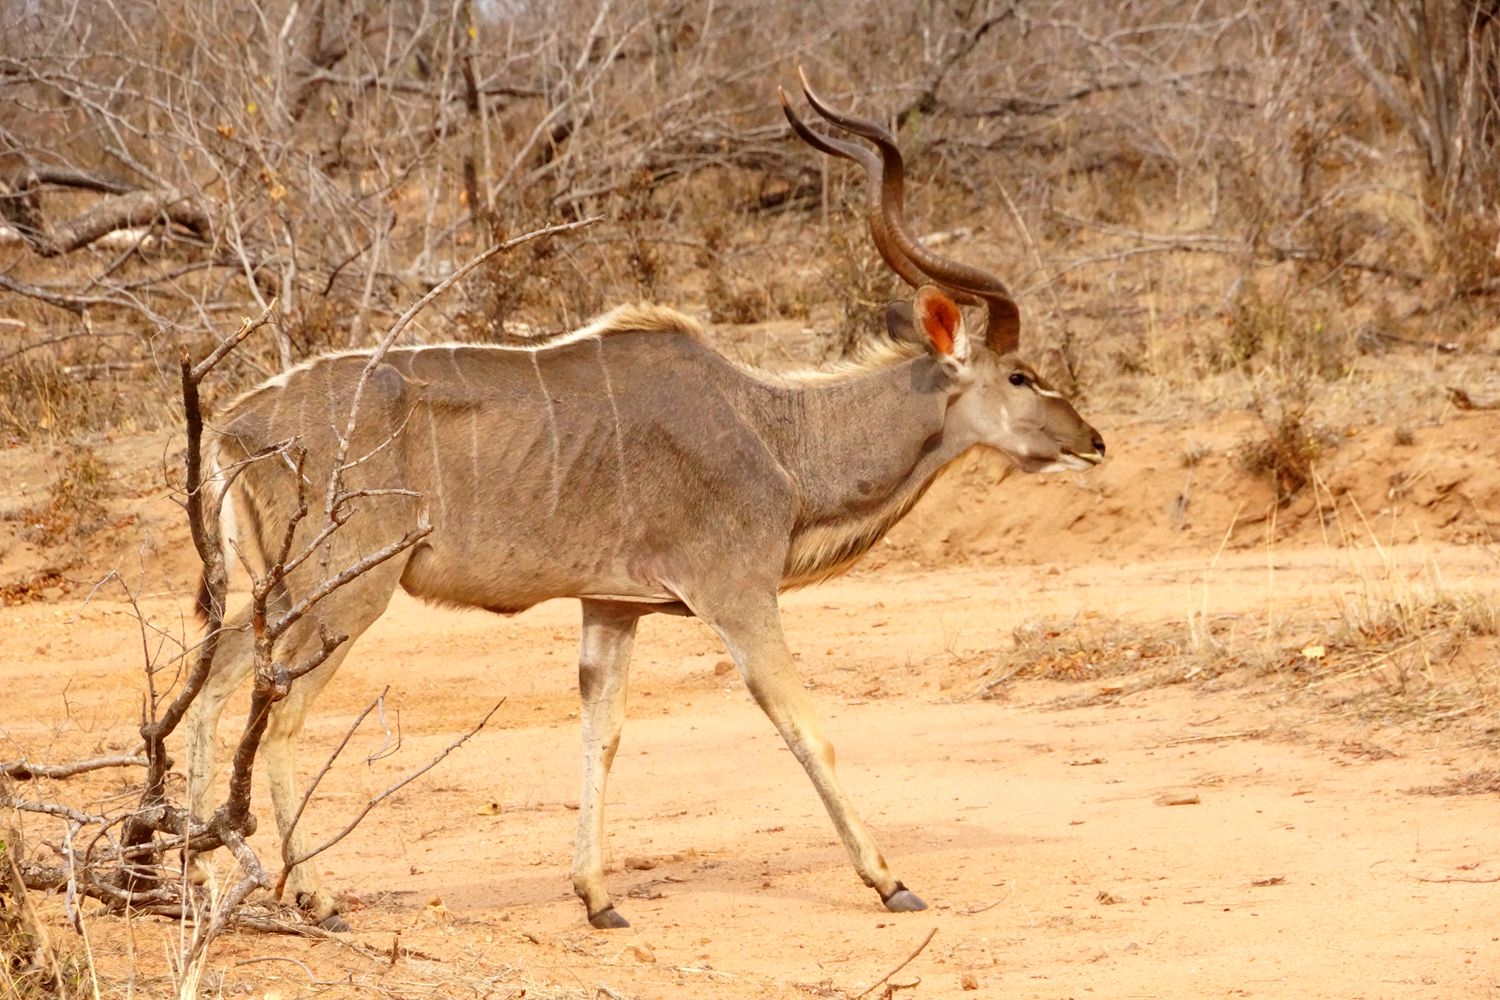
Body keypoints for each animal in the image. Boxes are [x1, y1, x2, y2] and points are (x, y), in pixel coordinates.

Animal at [184, 72, 1104, 929]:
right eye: (1021, 376)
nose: (1092, 440)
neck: (776, 433)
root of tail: (235, 423)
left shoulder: (612, 606)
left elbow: (605, 729)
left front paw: (597, 898)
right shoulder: (738, 596)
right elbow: (804, 725)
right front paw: (890, 881)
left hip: (282, 595)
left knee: (213, 686)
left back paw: (189, 878)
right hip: (344, 594)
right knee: (280, 713)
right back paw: (313, 895)